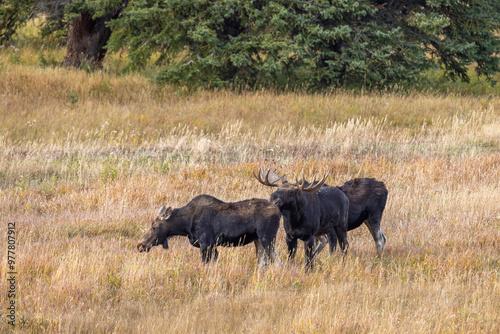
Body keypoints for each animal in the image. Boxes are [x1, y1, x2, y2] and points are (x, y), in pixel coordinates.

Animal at [137, 194, 282, 268]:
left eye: (154, 226)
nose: (140, 245)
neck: (185, 225)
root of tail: (278, 210)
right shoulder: (213, 246)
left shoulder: (206, 244)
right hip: (258, 240)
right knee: (263, 263)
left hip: (267, 238)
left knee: (277, 262)